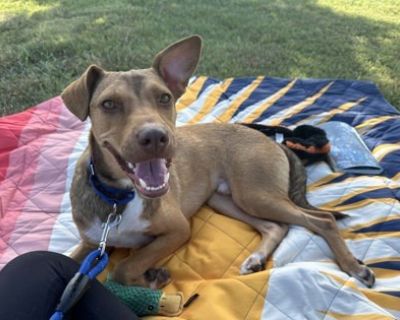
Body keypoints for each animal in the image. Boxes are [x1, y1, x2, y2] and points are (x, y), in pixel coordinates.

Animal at [62, 35, 376, 288]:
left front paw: (151, 279)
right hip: (227, 199)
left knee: (322, 220)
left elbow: (126, 267)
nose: (155, 137)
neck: (119, 198)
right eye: (108, 104)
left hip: (254, 194)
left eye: (164, 98)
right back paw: (257, 258)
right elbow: (68, 258)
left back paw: (353, 266)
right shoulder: (91, 243)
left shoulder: (178, 229)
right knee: (276, 226)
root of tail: (269, 139)